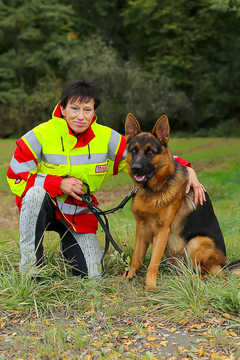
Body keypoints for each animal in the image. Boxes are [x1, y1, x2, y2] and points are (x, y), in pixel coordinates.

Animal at [122, 114, 240, 288]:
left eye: (150, 152)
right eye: (133, 150)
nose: (136, 168)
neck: (154, 190)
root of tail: (223, 265)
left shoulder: (162, 231)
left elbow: (153, 262)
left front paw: (150, 286)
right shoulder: (141, 229)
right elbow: (135, 259)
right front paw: (127, 278)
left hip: (196, 242)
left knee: (204, 275)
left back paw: (190, 280)